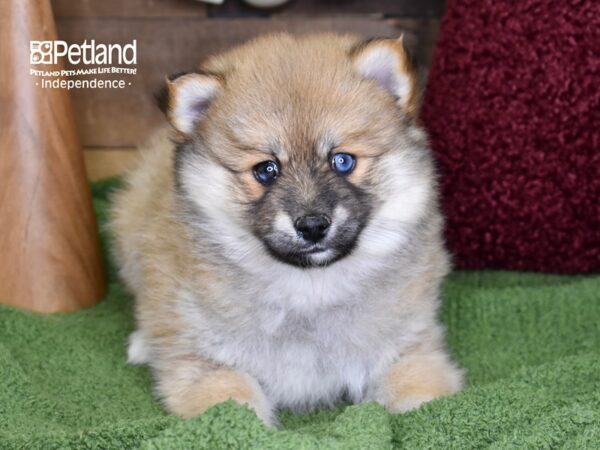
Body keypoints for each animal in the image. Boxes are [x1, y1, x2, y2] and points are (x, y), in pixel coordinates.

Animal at [113, 33, 468, 424]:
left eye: (342, 161)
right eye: (266, 170)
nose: (313, 225)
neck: (309, 290)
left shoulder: (409, 350)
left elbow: (423, 400)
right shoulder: (206, 367)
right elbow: (234, 409)